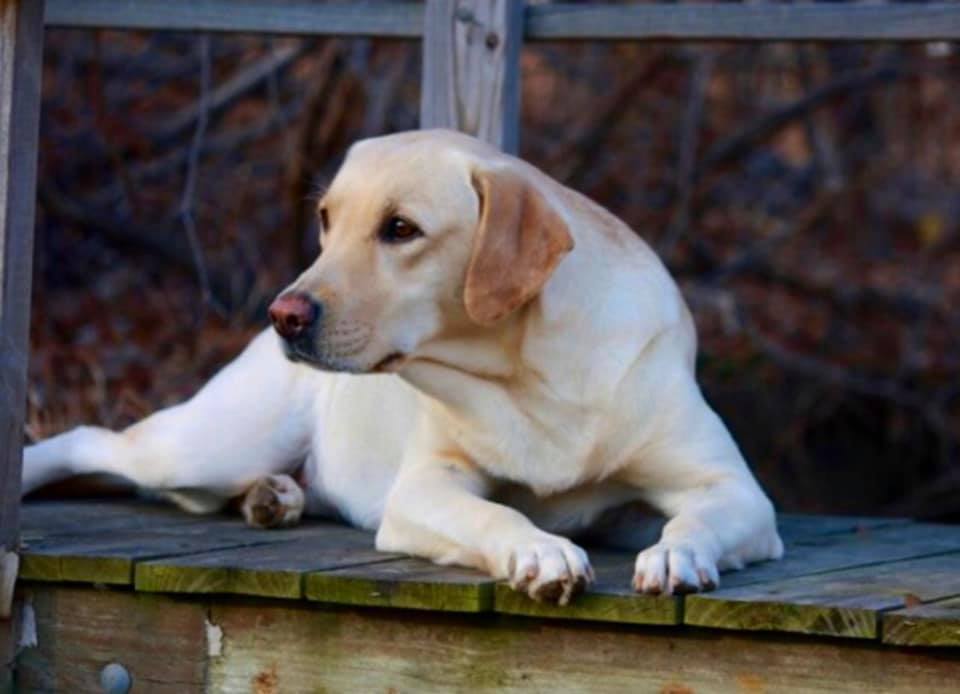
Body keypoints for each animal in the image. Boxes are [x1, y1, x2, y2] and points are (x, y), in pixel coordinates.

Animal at [22, 129, 784, 604]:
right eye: (327, 220)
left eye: (400, 229)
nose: (284, 315)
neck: (532, 374)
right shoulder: (422, 488)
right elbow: (494, 515)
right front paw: (541, 553)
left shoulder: (736, 491)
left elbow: (694, 519)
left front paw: (677, 555)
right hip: (210, 444)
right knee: (96, 442)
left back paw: (275, 497)